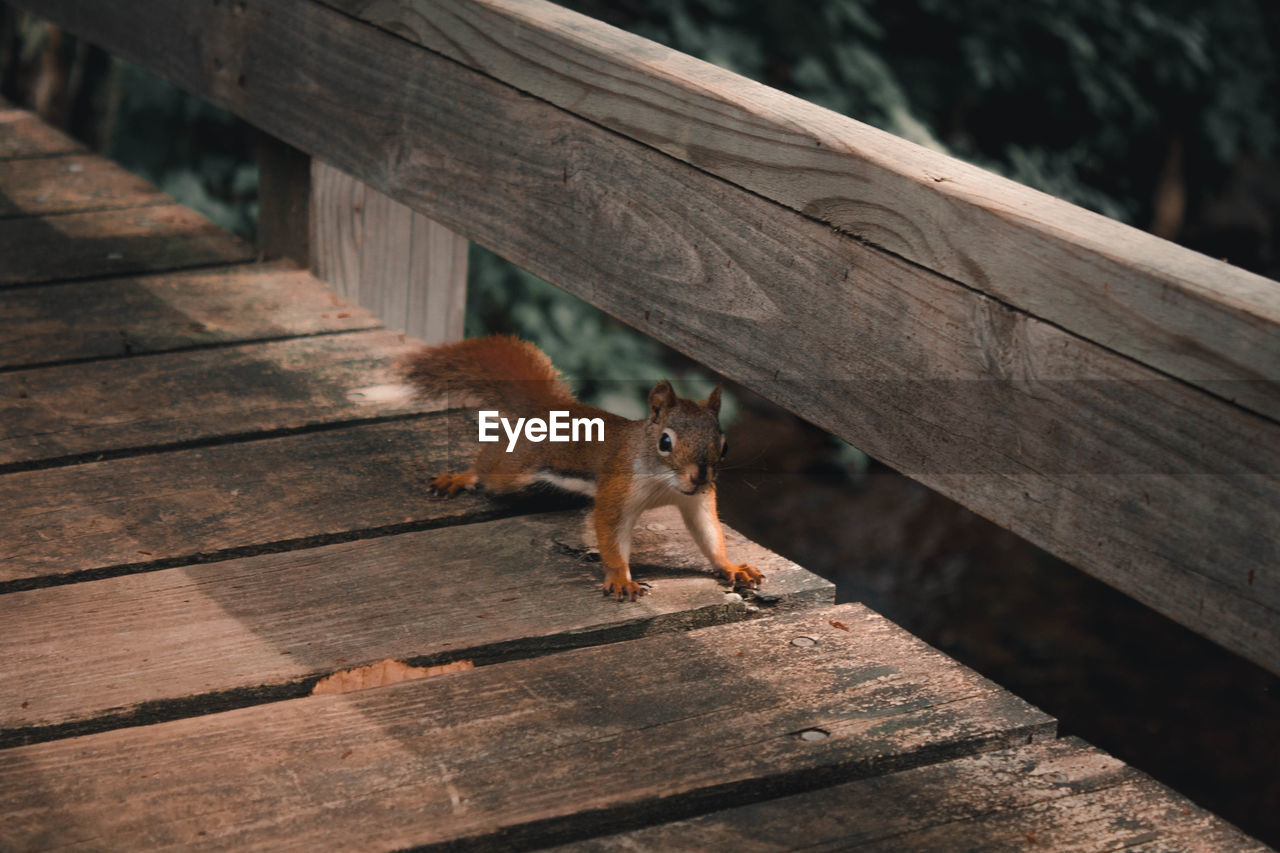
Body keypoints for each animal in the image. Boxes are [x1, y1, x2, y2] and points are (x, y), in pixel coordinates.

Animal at [399, 333, 757, 596]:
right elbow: (611, 536)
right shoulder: (617, 488)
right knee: (487, 466)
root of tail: (548, 407)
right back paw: (460, 477)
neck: (664, 483)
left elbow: (709, 534)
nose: (700, 478)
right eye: (665, 443)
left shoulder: (696, 502)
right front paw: (622, 579)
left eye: (724, 446)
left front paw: (731, 567)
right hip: (512, 467)